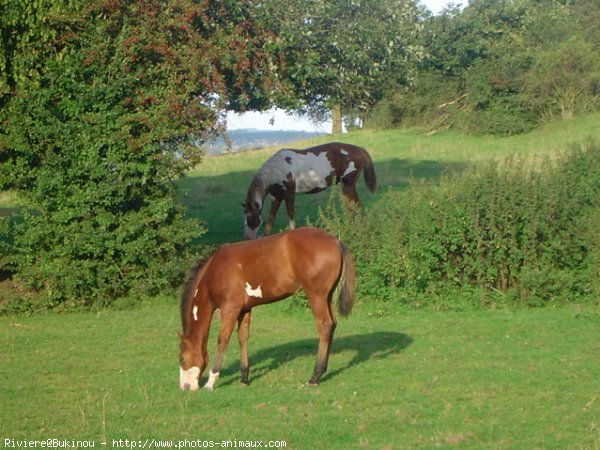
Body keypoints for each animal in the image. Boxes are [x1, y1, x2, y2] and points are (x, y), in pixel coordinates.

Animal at [178, 227, 356, 392]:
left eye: (182, 359)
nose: (185, 387)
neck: (216, 270)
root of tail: (335, 241)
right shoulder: (244, 309)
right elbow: (243, 337)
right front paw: (244, 378)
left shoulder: (230, 308)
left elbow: (223, 340)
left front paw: (210, 382)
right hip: (327, 296)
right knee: (332, 324)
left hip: (316, 296)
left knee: (324, 325)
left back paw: (315, 376)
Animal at [240, 142, 376, 239]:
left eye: (249, 217)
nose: (247, 238)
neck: (277, 169)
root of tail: (359, 149)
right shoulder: (276, 196)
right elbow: (271, 215)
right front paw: (265, 236)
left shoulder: (289, 194)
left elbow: (290, 213)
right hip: (344, 186)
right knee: (349, 207)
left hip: (349, 185)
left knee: (355, 205)